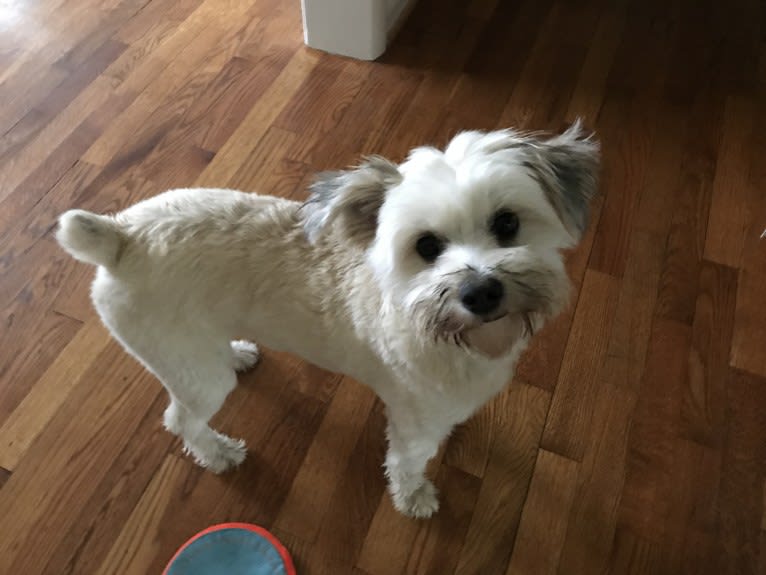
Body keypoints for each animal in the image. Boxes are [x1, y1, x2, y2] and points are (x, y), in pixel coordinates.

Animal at [57, 120, 604, 516]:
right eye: (427, 246)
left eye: (507, 223)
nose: (481, 291)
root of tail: (122, 237)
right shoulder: (413, 422)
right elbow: (407, 463)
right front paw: (414, 499)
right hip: (193, 372)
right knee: (181, 420)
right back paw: (217, 453)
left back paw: (236, 353)